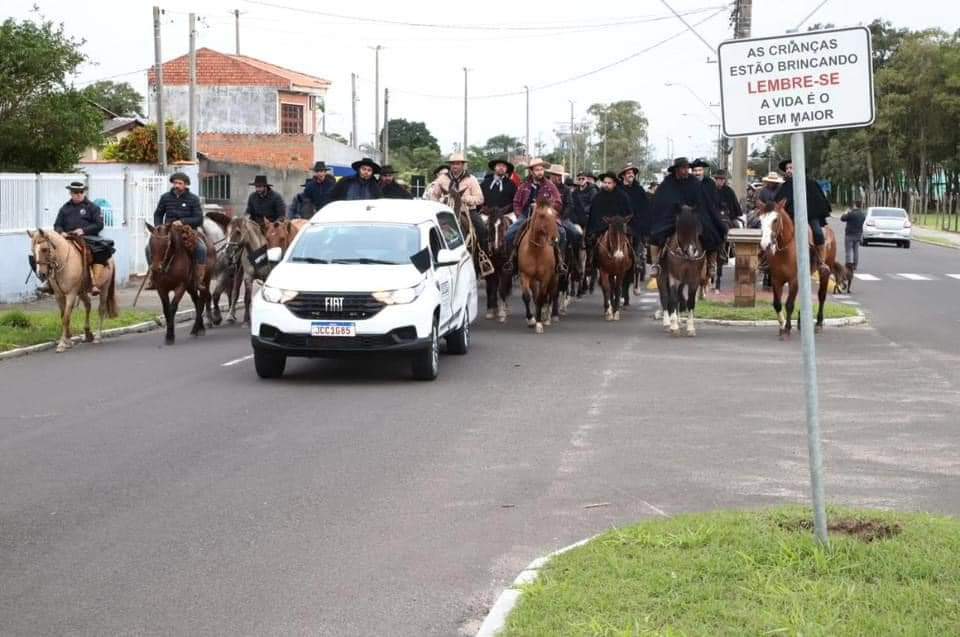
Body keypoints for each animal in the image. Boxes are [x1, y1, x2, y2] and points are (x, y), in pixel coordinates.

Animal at [520, 202, 560, 332]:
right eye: (542, 215)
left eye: (555, 214)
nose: (555, 239)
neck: (535, 251)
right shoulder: (525, 274)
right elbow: (527, 296)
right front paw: (531, 319)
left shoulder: (546, 277)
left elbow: (542, 297)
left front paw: (538, 323)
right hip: (533, 279)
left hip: (554, 278)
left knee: (551, 295)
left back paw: (547, 318)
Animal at [656, 205, 708, 336]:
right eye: (679, 227)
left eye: (696, 225)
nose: (691, 251)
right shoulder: (673, 278)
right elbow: (673, 299)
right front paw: (674, 327)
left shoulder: (694, 279)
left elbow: (690, 301)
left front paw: (690, 327)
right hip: (661, 276)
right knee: (665, 297)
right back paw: (667, 323)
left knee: (679, 296)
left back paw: (678, 320)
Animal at [756, 200, 840, 338]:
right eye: (760, 220)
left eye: (775, 219)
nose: (765, 244)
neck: (786, 249)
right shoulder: (776, 279)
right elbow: (777, 304)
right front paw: (782, 325)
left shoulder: (794, 280)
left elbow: (789, 304)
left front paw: (787, 328)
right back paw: (802, 322)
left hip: (825, 271)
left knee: (821, 296)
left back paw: (818, 323)